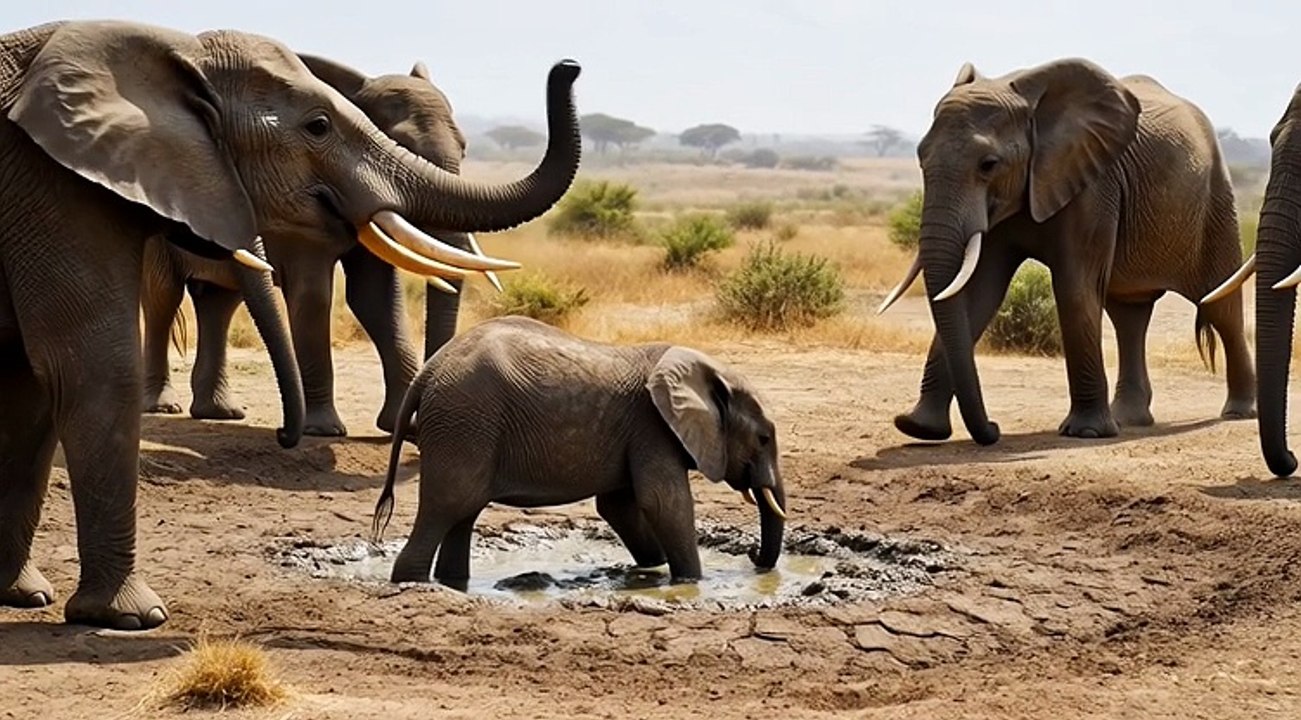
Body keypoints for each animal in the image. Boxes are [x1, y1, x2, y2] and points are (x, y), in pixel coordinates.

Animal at [141, 55, 478, 436]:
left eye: (464, 149)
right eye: (401, 143)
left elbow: (377, 299)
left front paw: (402, 428)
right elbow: (313, 294)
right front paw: (325, 431)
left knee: (220, 302)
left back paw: (220, 413)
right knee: (163, 298)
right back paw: (163, 406)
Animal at [371, 316, 787, 587]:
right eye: (764, 439)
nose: (754, 560)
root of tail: (428, 371)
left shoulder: (636, 434)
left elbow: (620, 506)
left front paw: (651, 567)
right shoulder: (652, 428)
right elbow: (663, 503)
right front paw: (690, 581)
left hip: (464, 427)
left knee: (463, 513)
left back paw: (453, 583)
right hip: (465, 422)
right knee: (449, 505)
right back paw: (412, 583)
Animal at [879, 57, 1255, 445]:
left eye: (988, 164)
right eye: (920, 158)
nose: (994, 429)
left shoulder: (1093, 185)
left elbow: (1074, 288)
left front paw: (1086, 432)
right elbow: (978, 292)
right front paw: (919, 428)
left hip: (1216, 200)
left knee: (1221, 305)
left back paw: (1238, 411)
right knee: (1129, 314)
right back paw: (1130, 419)